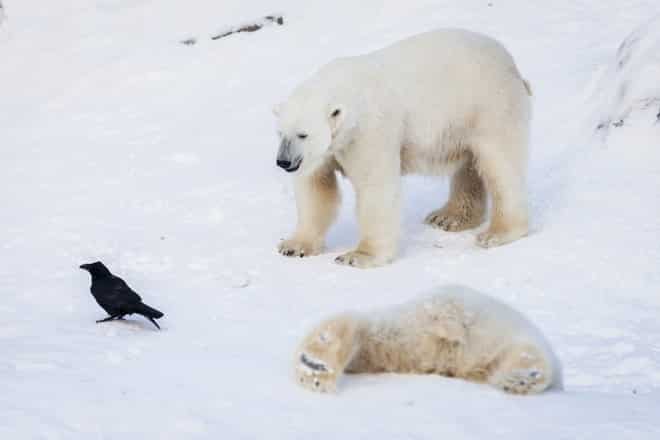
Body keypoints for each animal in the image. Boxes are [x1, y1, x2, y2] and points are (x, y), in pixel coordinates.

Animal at [274, 29, 532, 268]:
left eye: (303, 134)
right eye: (280, 133)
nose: (284, 162)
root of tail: (511, 63)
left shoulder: (369, 131)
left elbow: (375, 187)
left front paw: (358, 256)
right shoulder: (325, 152)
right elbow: (315, 189)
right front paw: (293, 246)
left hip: (489, 105)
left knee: (500, 165)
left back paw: (497, 232)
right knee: (470, 165)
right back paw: (449, 217)